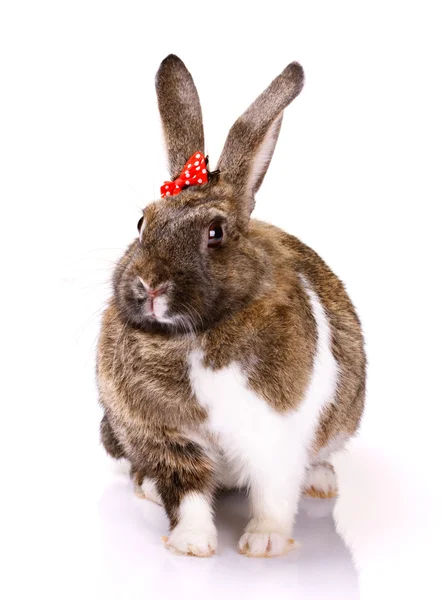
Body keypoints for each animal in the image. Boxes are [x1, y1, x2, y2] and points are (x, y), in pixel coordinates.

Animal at [96, 54, 366, 556]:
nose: (149, 285)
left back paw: (321, 481)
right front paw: (192, 545)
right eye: (142, 223)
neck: (193, 336)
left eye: (216, 233)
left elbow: (274, 495)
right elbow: (186, 495)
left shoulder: (277, 439)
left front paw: (264, 544)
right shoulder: (169, 440)